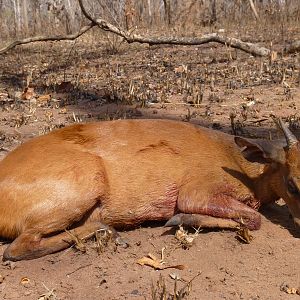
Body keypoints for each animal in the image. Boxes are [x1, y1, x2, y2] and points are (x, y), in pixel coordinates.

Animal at [0, 118, 300, 262]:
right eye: (293, 184)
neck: (245, 169)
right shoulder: (196, 190)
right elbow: (254, 218)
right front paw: (180, 219)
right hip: (85, 181)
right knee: (17, 248)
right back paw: (109, 231)